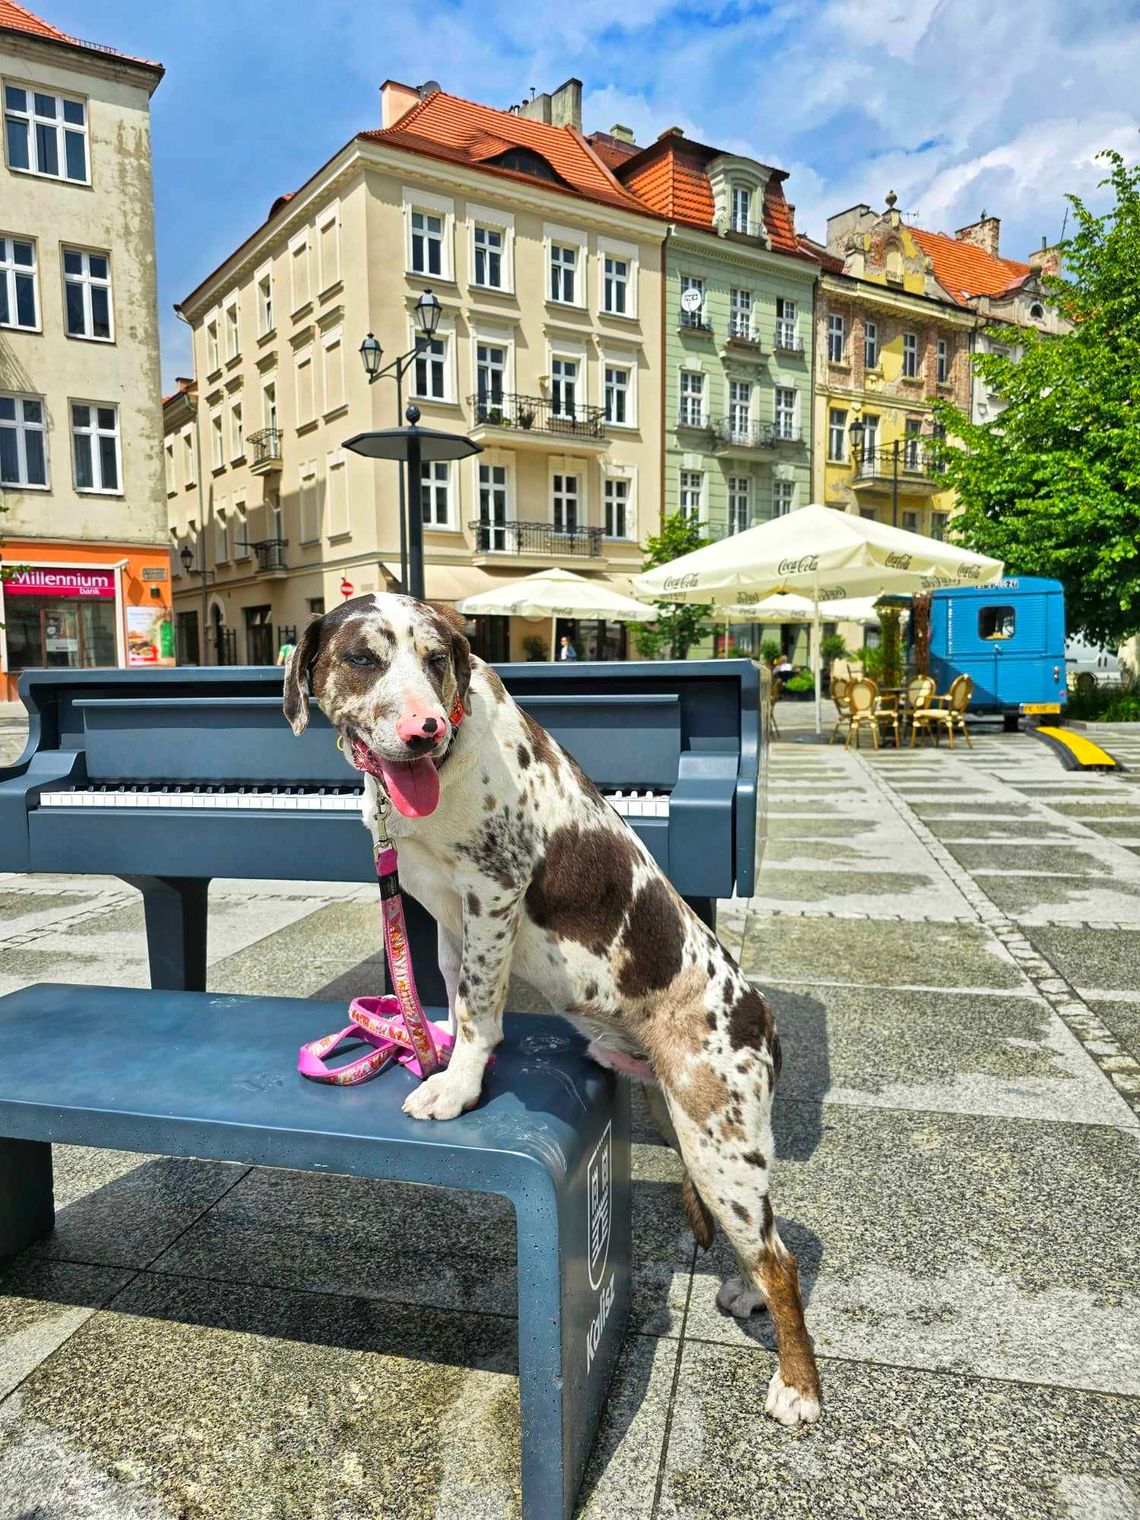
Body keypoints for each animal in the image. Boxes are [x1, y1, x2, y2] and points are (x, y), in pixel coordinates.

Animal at [284, 589, 820, 1422]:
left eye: (435, 659)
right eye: (362, 658)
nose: (424, 727)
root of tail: (762, 1018)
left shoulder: (493, 891)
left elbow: (480, 1007)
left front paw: (457, 1085)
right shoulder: (447, 912)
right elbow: (450, 991)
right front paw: (434, 1046)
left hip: (721, 1143)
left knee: (784, 1260)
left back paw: (797, 1387)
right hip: (696, 1132)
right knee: (761, 1247)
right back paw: (746, 1293)